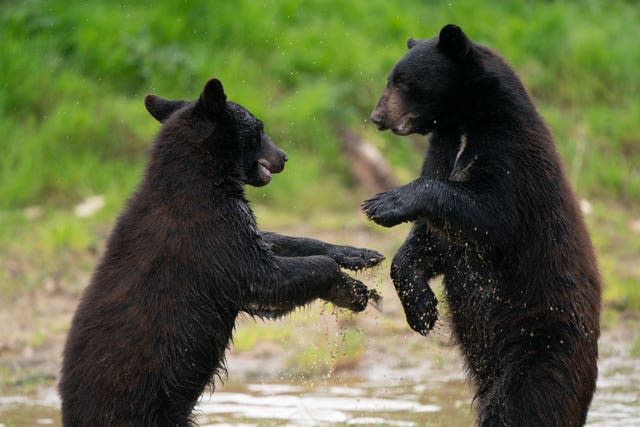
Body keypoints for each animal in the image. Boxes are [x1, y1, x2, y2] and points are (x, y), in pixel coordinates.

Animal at [57, 77, 382, 427]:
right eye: (259, 128)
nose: (283, 156)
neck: (203, 180)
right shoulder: (208, 238)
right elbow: (265, 279)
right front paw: (351, 289)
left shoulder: (230, 229)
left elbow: (274, 244)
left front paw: (359, 254)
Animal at [364, 24, 600, 427]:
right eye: (391, 78)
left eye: (404, 81)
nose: (378, 117)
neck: (466, 122)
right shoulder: (443, 151)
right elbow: (432, 240)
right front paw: (422, 310)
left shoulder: (515, 160)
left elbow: (489, 215)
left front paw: (384, 203)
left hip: (542, 345)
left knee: (523, 406)